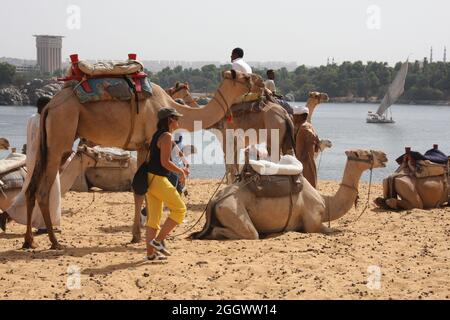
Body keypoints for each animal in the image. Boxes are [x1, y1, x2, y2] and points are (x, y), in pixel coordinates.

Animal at [24, 70, 264, 250]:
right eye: (244, 77)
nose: (262, 83)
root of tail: (50, 106)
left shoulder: (142, 146)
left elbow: (141, 191)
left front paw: (138, 234)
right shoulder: (150, 143)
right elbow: (145, 190)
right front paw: (144, 235)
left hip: (49, 145)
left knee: (31, 188)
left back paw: (29, 241)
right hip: (60, 139)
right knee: (43, 190)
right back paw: (54, 242)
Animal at [191, 149, 386, 239]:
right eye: (363, 153)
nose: (384, 156)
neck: (326, 202)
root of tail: (215, 200)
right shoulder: (312, 223)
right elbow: (330, 230)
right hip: (231, 209)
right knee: (246, 233)